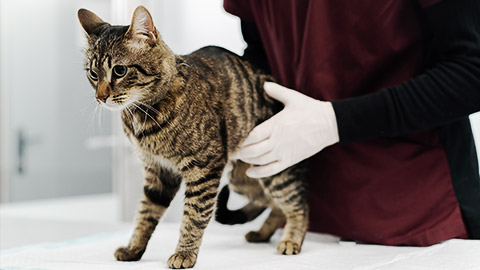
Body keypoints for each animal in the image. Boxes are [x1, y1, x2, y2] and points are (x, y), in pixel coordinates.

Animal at [77, 5, 310, 268]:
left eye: (119, 70)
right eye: (93, 74)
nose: (100, 97)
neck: (142, 116)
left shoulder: (204, 169)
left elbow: (194, 215)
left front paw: (184, 253)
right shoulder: (158, 172)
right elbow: (145, 214)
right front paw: (133, 248)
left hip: (274, 171)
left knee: (298, 203)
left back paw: (291, 239)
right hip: (244, 179)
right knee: (272, 203)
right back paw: (262, 233)